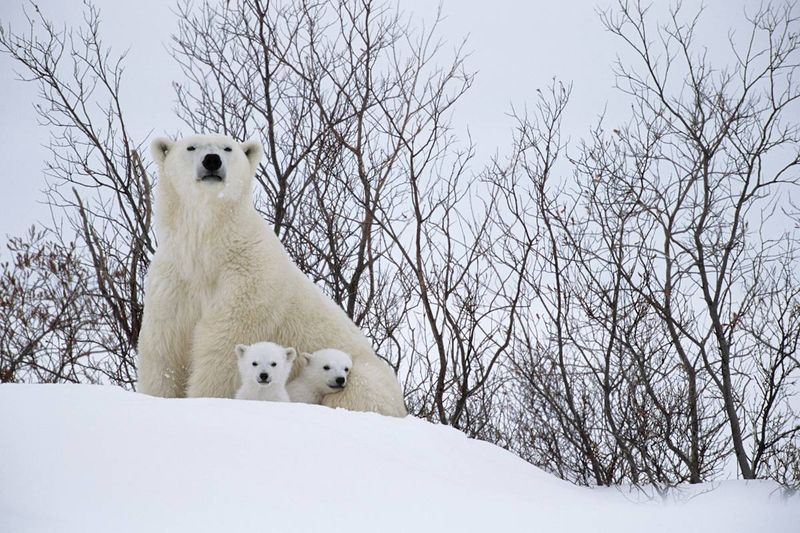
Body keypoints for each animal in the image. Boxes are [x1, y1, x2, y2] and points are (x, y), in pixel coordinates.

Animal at [137, 133, 406, 416]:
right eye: (191, 147)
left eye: (227, 148)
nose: (212, 160)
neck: (210, 249)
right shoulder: (174, 278)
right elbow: (164, 344)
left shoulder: (249, 280)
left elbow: (223, 345)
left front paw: (207, 397)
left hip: (363, 375)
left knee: (358, 391)